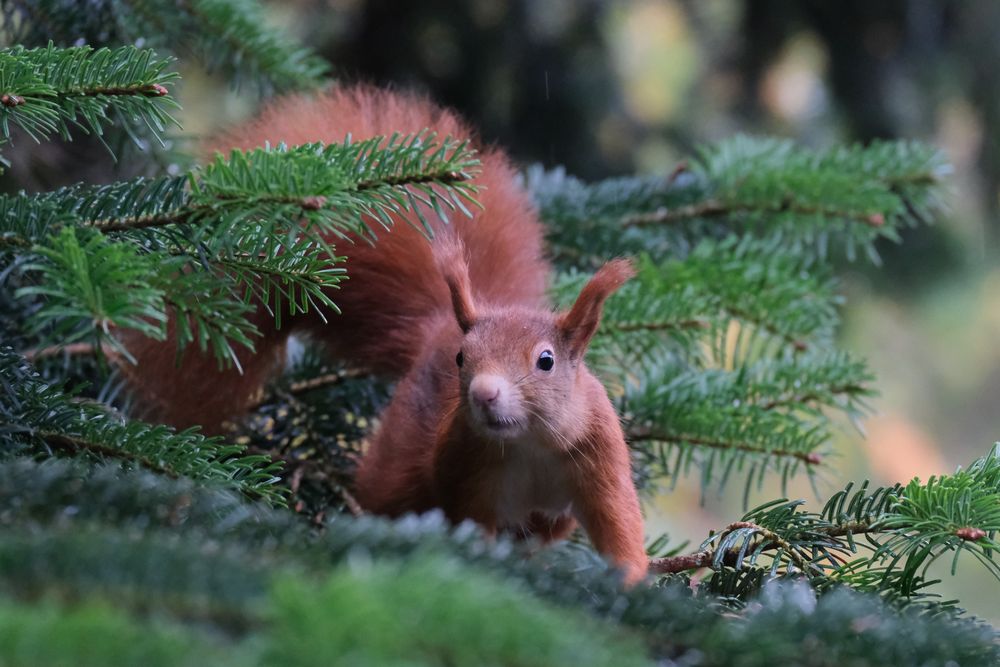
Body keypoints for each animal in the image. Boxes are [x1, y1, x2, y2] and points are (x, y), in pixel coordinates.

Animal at [121, 85, 648, 584]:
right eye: (463, 359)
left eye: (546, 361)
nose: (483, 393)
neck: (528, 444)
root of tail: (437, 325)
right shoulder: (465, 467)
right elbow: (471, 523)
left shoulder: (598, 458)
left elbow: (619, 526)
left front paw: (632, 582)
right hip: (403, 452)